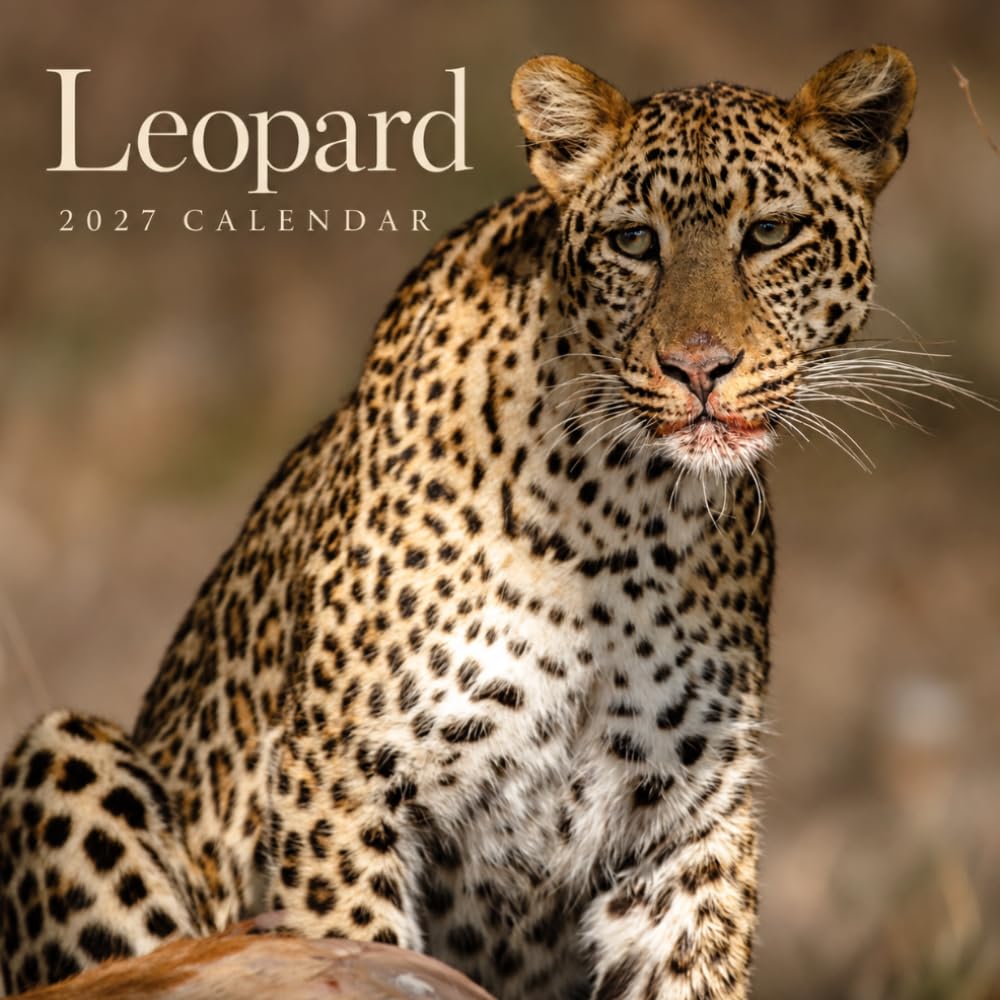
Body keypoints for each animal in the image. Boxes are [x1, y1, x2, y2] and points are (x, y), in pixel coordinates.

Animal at [0, 46, 916, 999]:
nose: (699, 367)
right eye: (634, 241)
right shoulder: (342, 779)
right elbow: (358, 939)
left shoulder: (690, 829)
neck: (623, 520)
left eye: (770, 233)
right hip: (66, 754)